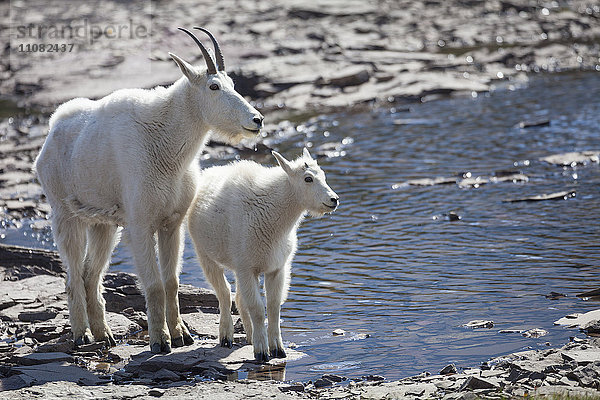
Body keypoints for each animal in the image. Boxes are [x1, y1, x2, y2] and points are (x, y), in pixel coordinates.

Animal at [32, 27, 262, 354]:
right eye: (214, 86)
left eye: (232, 84)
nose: (256, 120)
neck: (167, 144)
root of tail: (51, 133)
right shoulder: (140, 225)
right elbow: (153, 284)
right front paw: (160, 341)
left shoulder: (172, 224)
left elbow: (171, 282)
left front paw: (181, 335)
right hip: (65, 214)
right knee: (73, 275)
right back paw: (82, 335)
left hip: (103, 225)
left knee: (91, 274)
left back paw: (105, 335)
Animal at [188, 148, 338, 360]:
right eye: (308, 178)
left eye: (324, 176)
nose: (334, 200)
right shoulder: (246, 267)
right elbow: (258, 309)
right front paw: (261, 352)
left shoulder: (276, 268)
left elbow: (274, 306)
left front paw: (277, 349)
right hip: (205, 254)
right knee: (224, 293)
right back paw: (226, 337)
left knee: (239, 299)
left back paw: (249, 336)